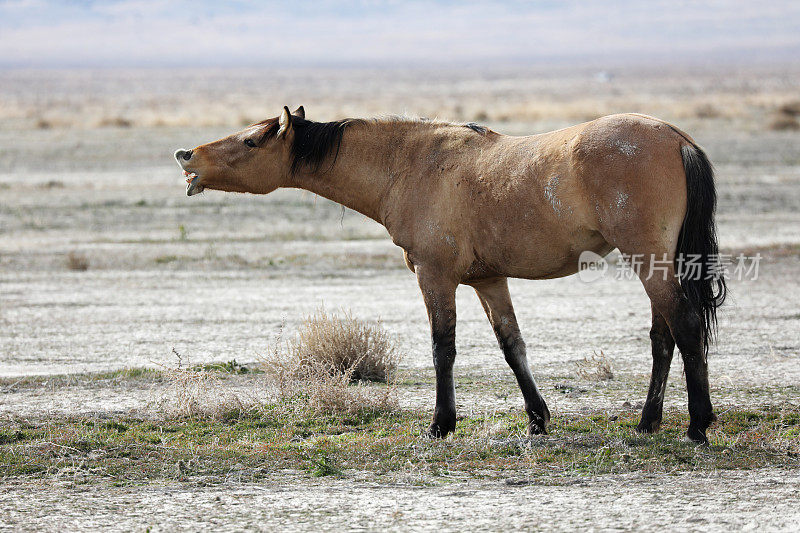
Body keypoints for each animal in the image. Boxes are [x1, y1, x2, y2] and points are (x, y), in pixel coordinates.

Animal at [175, 106, 724, 442]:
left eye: (251, 141)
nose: (186, 155)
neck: (410, 165)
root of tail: (675, 137)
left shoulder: (435, 276)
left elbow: (444, 348)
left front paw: (441, 424)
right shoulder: (488, 281)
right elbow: (512, 346)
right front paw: (537, 420)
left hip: (649, 262)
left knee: (685, 327)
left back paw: (697, 425)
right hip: (654, 265)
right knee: (663, 338)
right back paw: (647, 423)